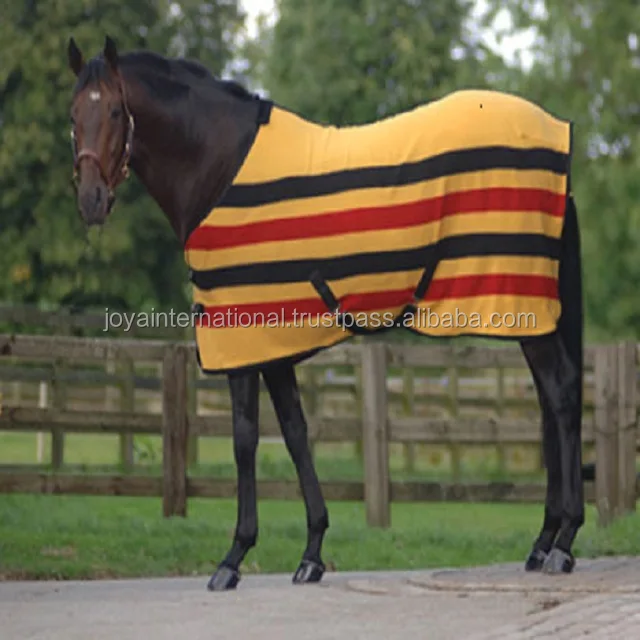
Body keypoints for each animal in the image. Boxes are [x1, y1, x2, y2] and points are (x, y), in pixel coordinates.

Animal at [66, 36, 585, 591]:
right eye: (73, 114)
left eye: (115, 111)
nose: (90, 201)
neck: (219, 167)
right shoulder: (272, 345)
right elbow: (296, 434)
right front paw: (311, 552)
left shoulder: (240, 339)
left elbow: (245, 439)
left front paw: (233, 558)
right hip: (532, 314)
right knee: (549, 407)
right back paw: (543, 541)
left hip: (523, 309)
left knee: (561, 396)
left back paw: (564, 542)